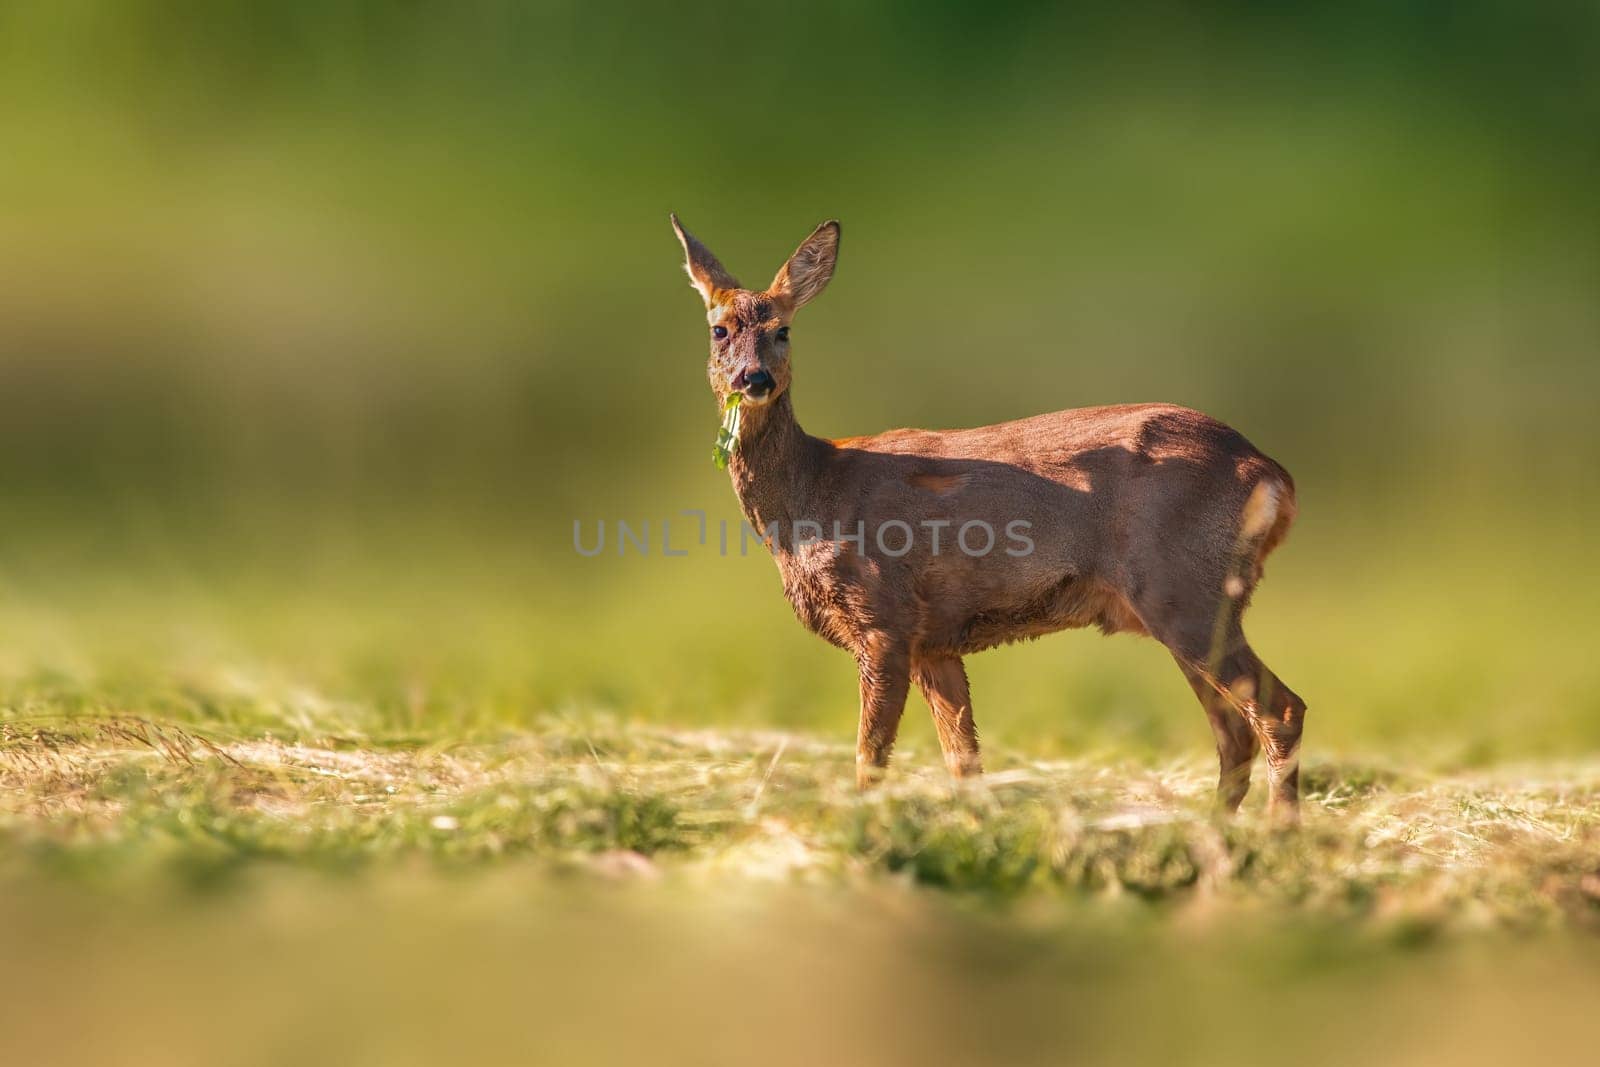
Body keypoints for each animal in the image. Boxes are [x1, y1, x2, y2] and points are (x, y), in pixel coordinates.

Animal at [668, 212, 1305, 825]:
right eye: (719, 329)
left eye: (783, 330)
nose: (754, 379)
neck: (811, 497)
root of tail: (1273, 473)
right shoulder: (934, 640)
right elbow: (964, 761)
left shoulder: (885, 617)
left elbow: (871, 756)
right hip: (1186, 604)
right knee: (1235, 731)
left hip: (1184, 588)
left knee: (1280, 710)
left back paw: (1280, 830)